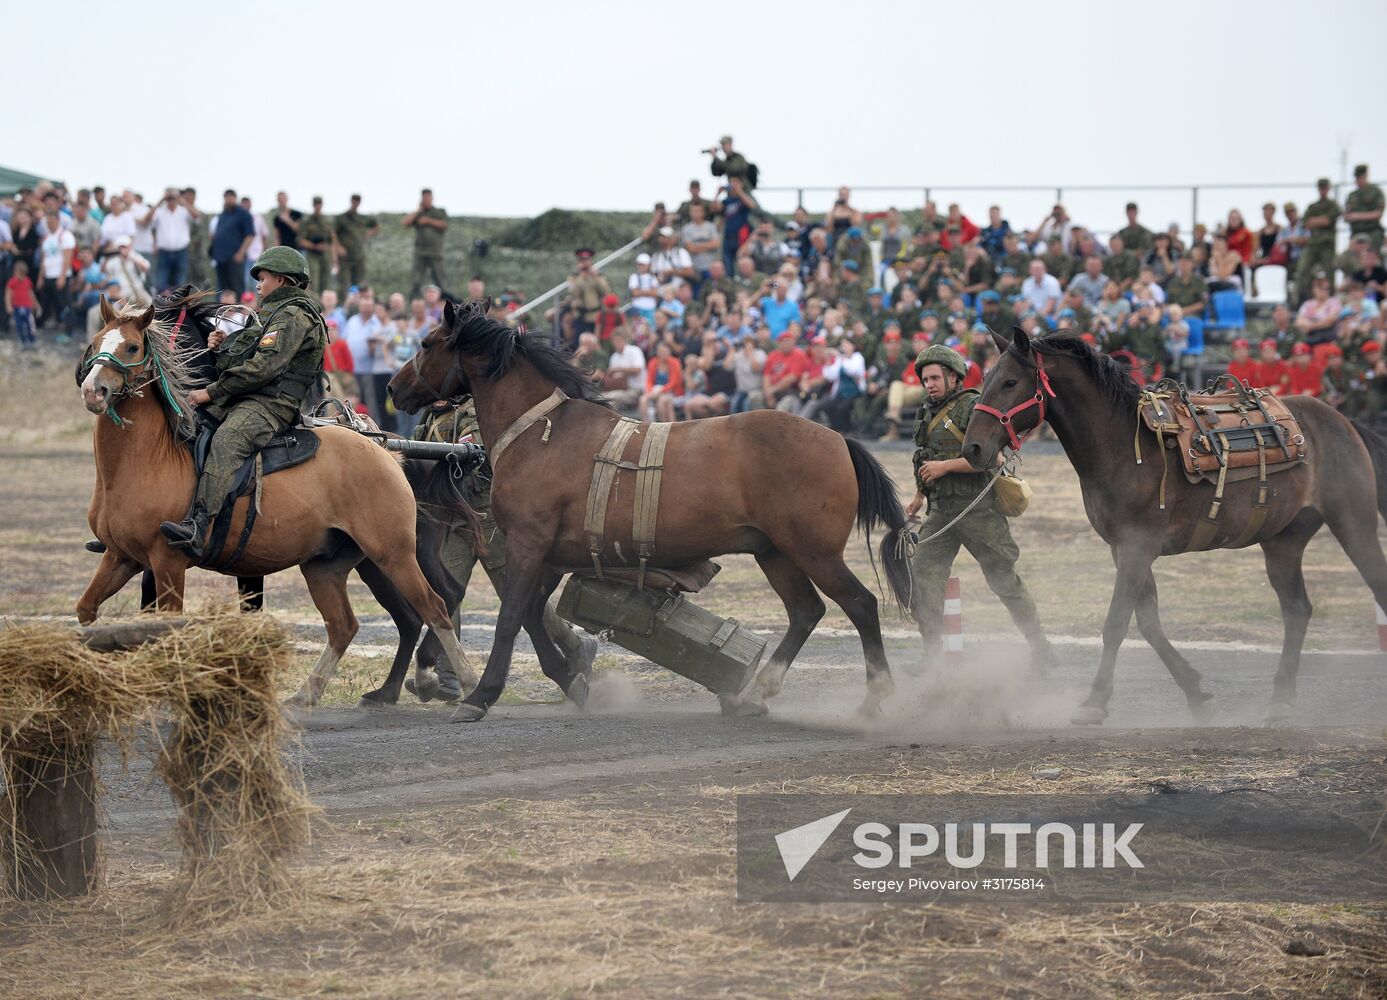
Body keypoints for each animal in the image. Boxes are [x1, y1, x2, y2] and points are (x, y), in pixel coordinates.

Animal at [77, 292, 477, 707]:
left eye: (132, 346)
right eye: (96, 342)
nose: (93, 391)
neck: (152, 457)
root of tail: (385, 452)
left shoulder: (167, 561)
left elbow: (167, 626)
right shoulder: (123, 556)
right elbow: (87, 610)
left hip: (394, 555)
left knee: (434, 607)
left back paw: (459, 682)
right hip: (326, 566)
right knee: (347, 625)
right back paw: (311, 694)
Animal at [385, 300, 915, 721]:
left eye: (427, 342)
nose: (392, 388)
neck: (543, 431)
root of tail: (838, 440)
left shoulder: (528, 544)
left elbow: (512, 616)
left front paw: (482, 694)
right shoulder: (550, 555)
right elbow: (533, 614)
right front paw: (569, 679)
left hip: (814, 551)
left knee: (860, 605)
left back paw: (877, 694)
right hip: (776, 552)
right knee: (807, 611)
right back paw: (756, 692)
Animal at [959, 327, 1387, 726]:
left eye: (1010, 382)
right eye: (988, 376)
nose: (972, 448)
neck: (1123, 450)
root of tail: (1341, 420)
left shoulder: (1137, 546)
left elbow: (1117, 623)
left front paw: (1094, 702)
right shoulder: (1123, 548)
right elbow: (1148, 623)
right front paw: (1197, 694)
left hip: (1354, 524)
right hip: (1283, 542)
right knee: (1297, 610)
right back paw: (1280, 701)